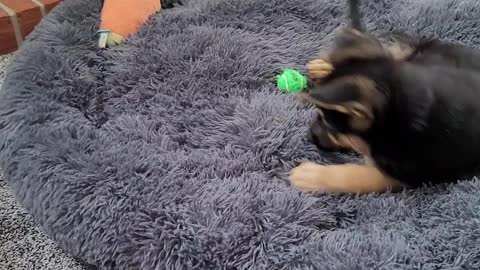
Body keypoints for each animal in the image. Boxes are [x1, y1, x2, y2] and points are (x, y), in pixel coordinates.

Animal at [288, 19, 480, 194]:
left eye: (327, 122)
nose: (310, 136)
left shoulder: (411, 173)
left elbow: (360, 176)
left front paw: (311, 176)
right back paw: (322, 68)